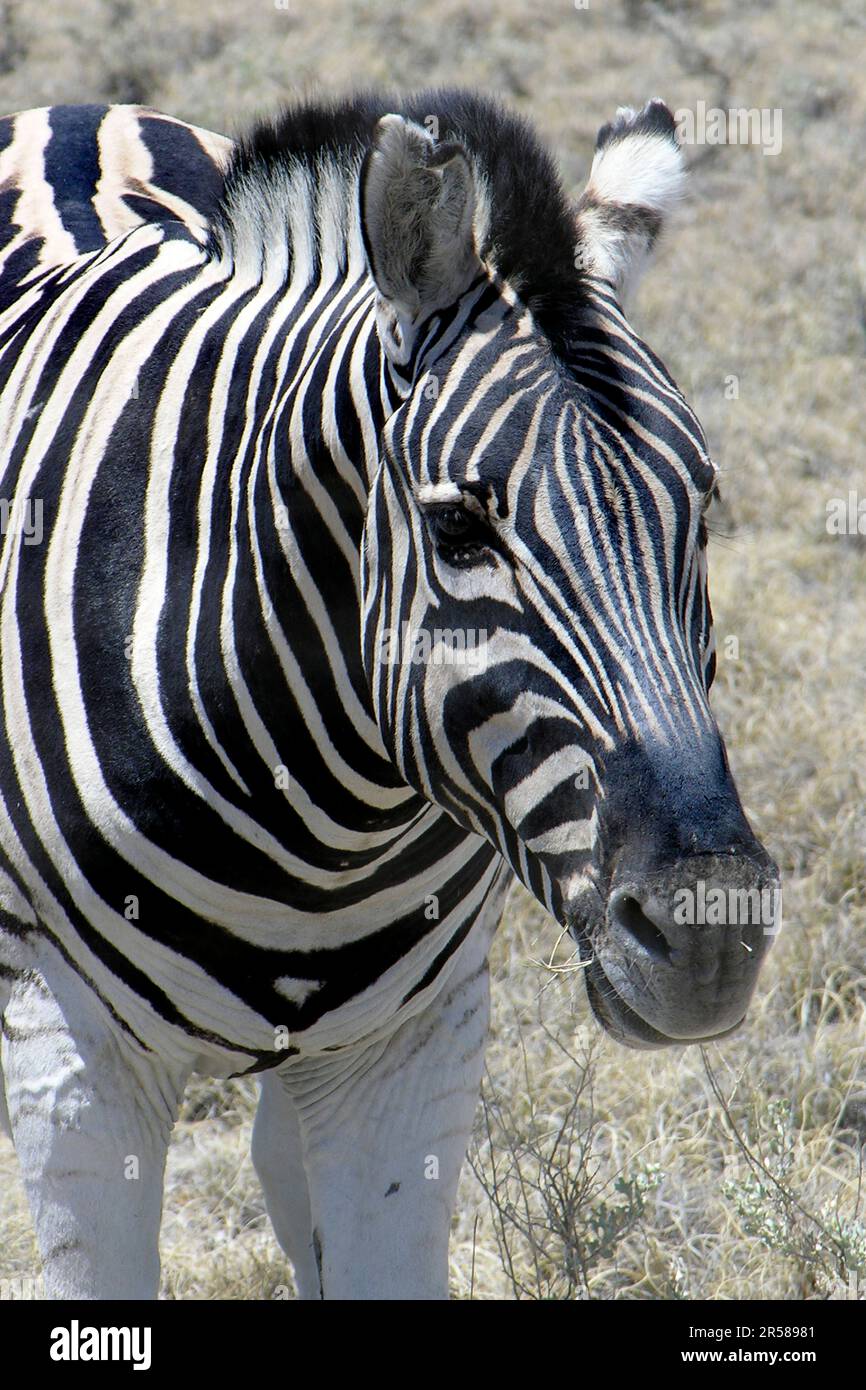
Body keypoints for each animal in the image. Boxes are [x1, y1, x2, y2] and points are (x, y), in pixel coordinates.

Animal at [0, 92, 778, 1301]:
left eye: (700, 510)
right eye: (458, 526)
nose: (708, 936)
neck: (311, 819)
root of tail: (77, 113)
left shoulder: (411, 1048)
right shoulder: (67, 1052)